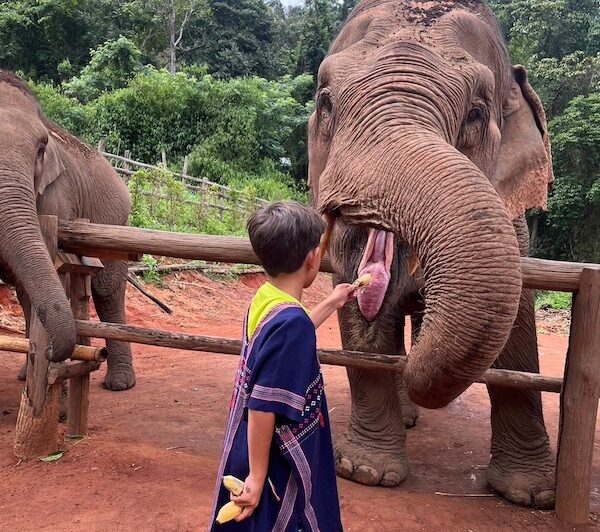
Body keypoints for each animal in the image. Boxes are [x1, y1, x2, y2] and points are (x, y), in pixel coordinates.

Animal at [0, 71, 134, 390]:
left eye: (40, 149)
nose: (49, 351)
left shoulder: (55, 197)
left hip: (115, 221)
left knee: (106, 289)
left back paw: (118, 382)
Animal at [312, 2, 556, 510]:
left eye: (476, 114)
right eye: (325, 102)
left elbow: (517, 317)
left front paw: (531, 495)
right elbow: (350, 286)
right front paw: (365, 473)